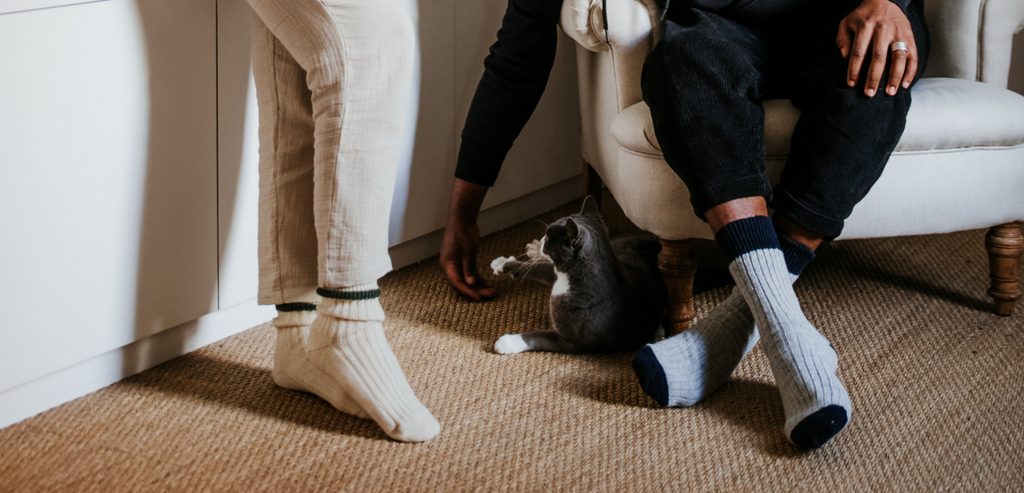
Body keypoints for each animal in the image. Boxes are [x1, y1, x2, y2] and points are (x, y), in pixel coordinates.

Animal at [489, 195, 667, 352]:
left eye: (549, 236)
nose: (542, 238)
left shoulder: (573, 341)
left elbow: (539, 337)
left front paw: (507, 343)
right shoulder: (556, 272)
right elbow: (536, 268)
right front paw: (502, 263)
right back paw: (533, 249)